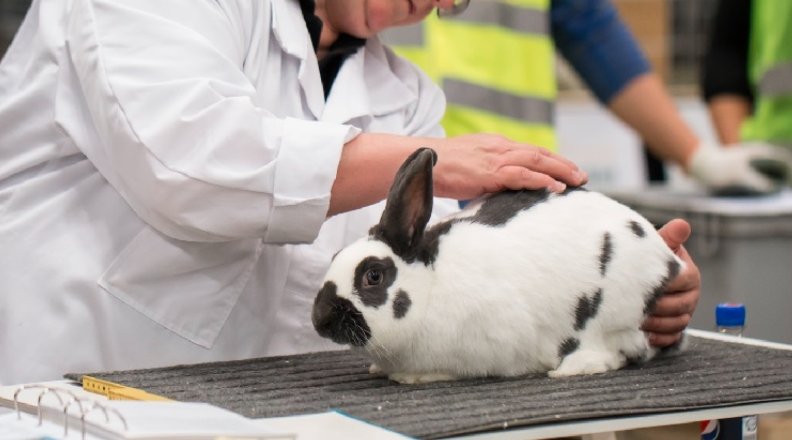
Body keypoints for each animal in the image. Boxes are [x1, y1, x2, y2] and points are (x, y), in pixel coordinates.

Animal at [312, 147, 684, 382]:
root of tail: (667, 260)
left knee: (612, 351)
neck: (431, 283)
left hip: (613, 311)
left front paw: (413, 377)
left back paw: (572, 368)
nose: (320, 320)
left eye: (373, 275)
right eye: (335, 256)